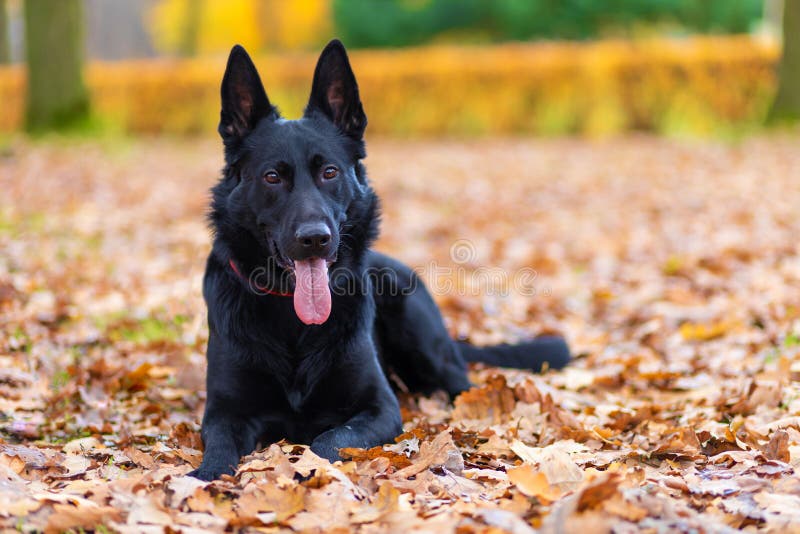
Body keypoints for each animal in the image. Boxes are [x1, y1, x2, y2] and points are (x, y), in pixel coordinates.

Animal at [191, 38, 572, 482]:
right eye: (272, 177)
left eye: (330, 172)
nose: (315, 239)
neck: (291, 319)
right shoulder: (224, 412)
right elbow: (219, 448)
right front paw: (205, 477)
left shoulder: (379, 408)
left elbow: (328, 441)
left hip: (420, 334)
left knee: (461, 382)